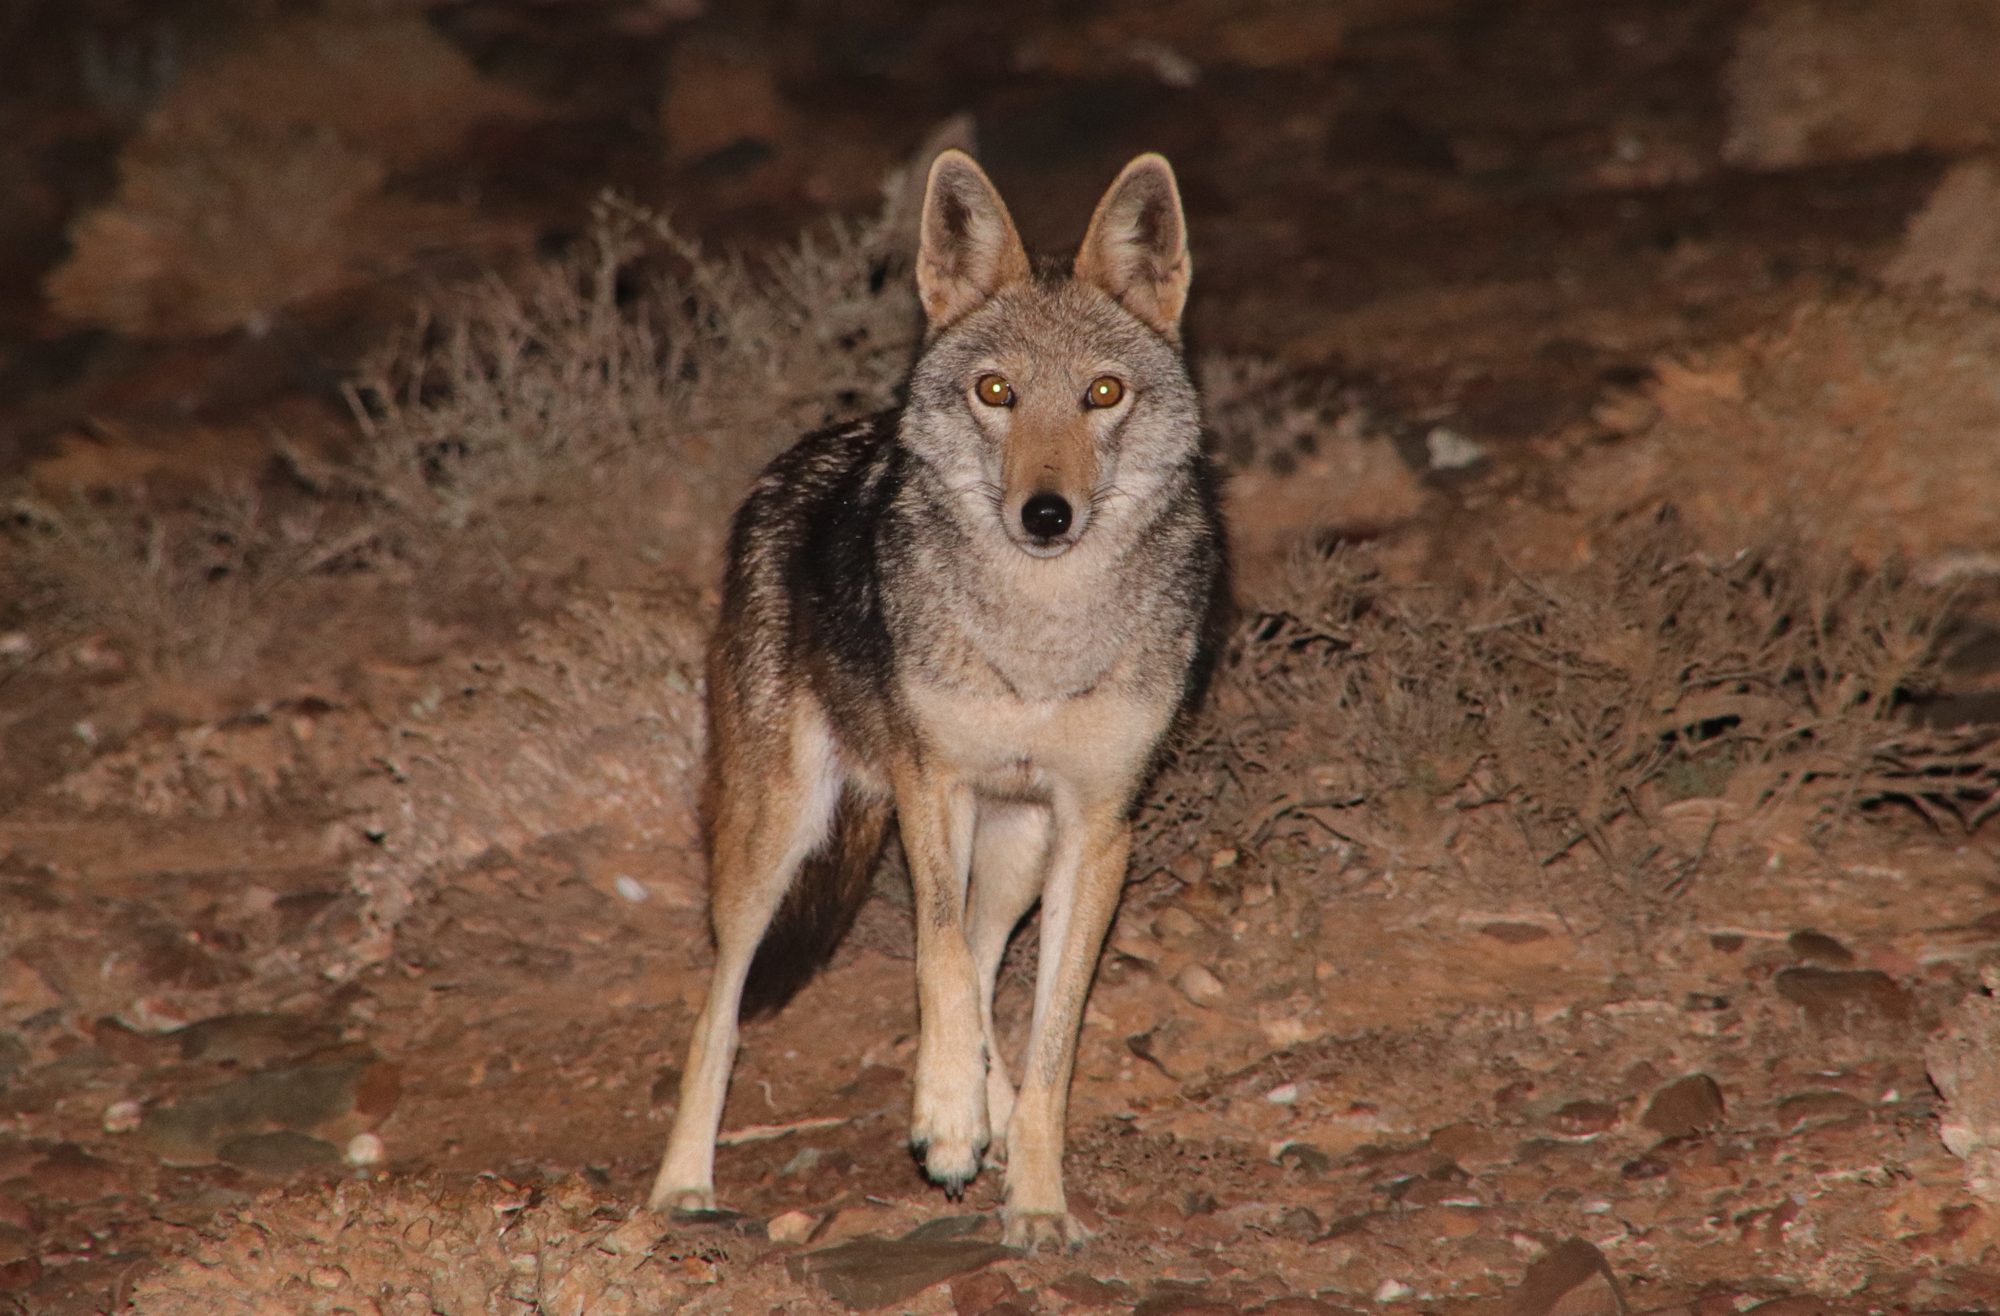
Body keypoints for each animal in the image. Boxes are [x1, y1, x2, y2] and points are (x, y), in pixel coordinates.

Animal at [647, 148, 1230, 1251]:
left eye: (1102, 393)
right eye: (994, 390)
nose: (1046, 515)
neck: (1037, 638)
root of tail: (808, 449)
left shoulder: (1099, 828)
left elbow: (1048, 1042)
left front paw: (1034, 1196)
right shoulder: (932, 785)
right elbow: (937, 957)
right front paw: (948, 1120)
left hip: (1018, 850)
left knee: (991, 958)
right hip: (772, 840)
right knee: (719, 1007)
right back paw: (680, 1186)